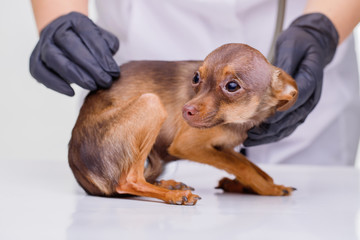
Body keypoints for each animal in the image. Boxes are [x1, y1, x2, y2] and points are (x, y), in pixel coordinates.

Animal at [68, 42, 298, 204]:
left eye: (232, 86)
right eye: (196, 78)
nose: (185, 110)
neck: (237, 121)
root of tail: (84, 178)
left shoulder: (221, 146)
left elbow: (249, 165)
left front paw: (248, 184)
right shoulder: (188, 145)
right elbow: (243, 167)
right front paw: (269, 190)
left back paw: (168, 185)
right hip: (151, 102)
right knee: (128, 180)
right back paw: (174, 195)